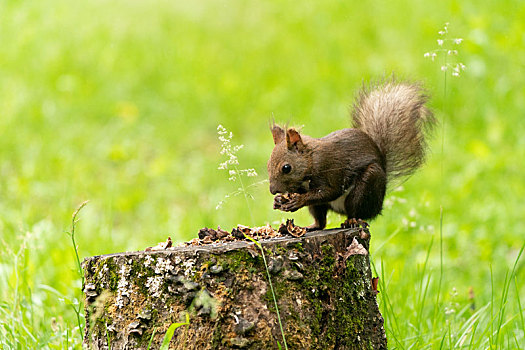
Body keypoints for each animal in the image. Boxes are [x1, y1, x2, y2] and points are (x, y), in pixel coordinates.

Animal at [266, 79, 434, 230]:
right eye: (267, 166)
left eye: (286, 168)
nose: (273, 190)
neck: (311, 160)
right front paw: (279, 200)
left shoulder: (330, 169)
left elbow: (328, 191)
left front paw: (298, 200)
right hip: (319, 207)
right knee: (321, 222)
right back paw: (310, 227)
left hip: (365, 187)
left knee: (356, 212)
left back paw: (352, 221)